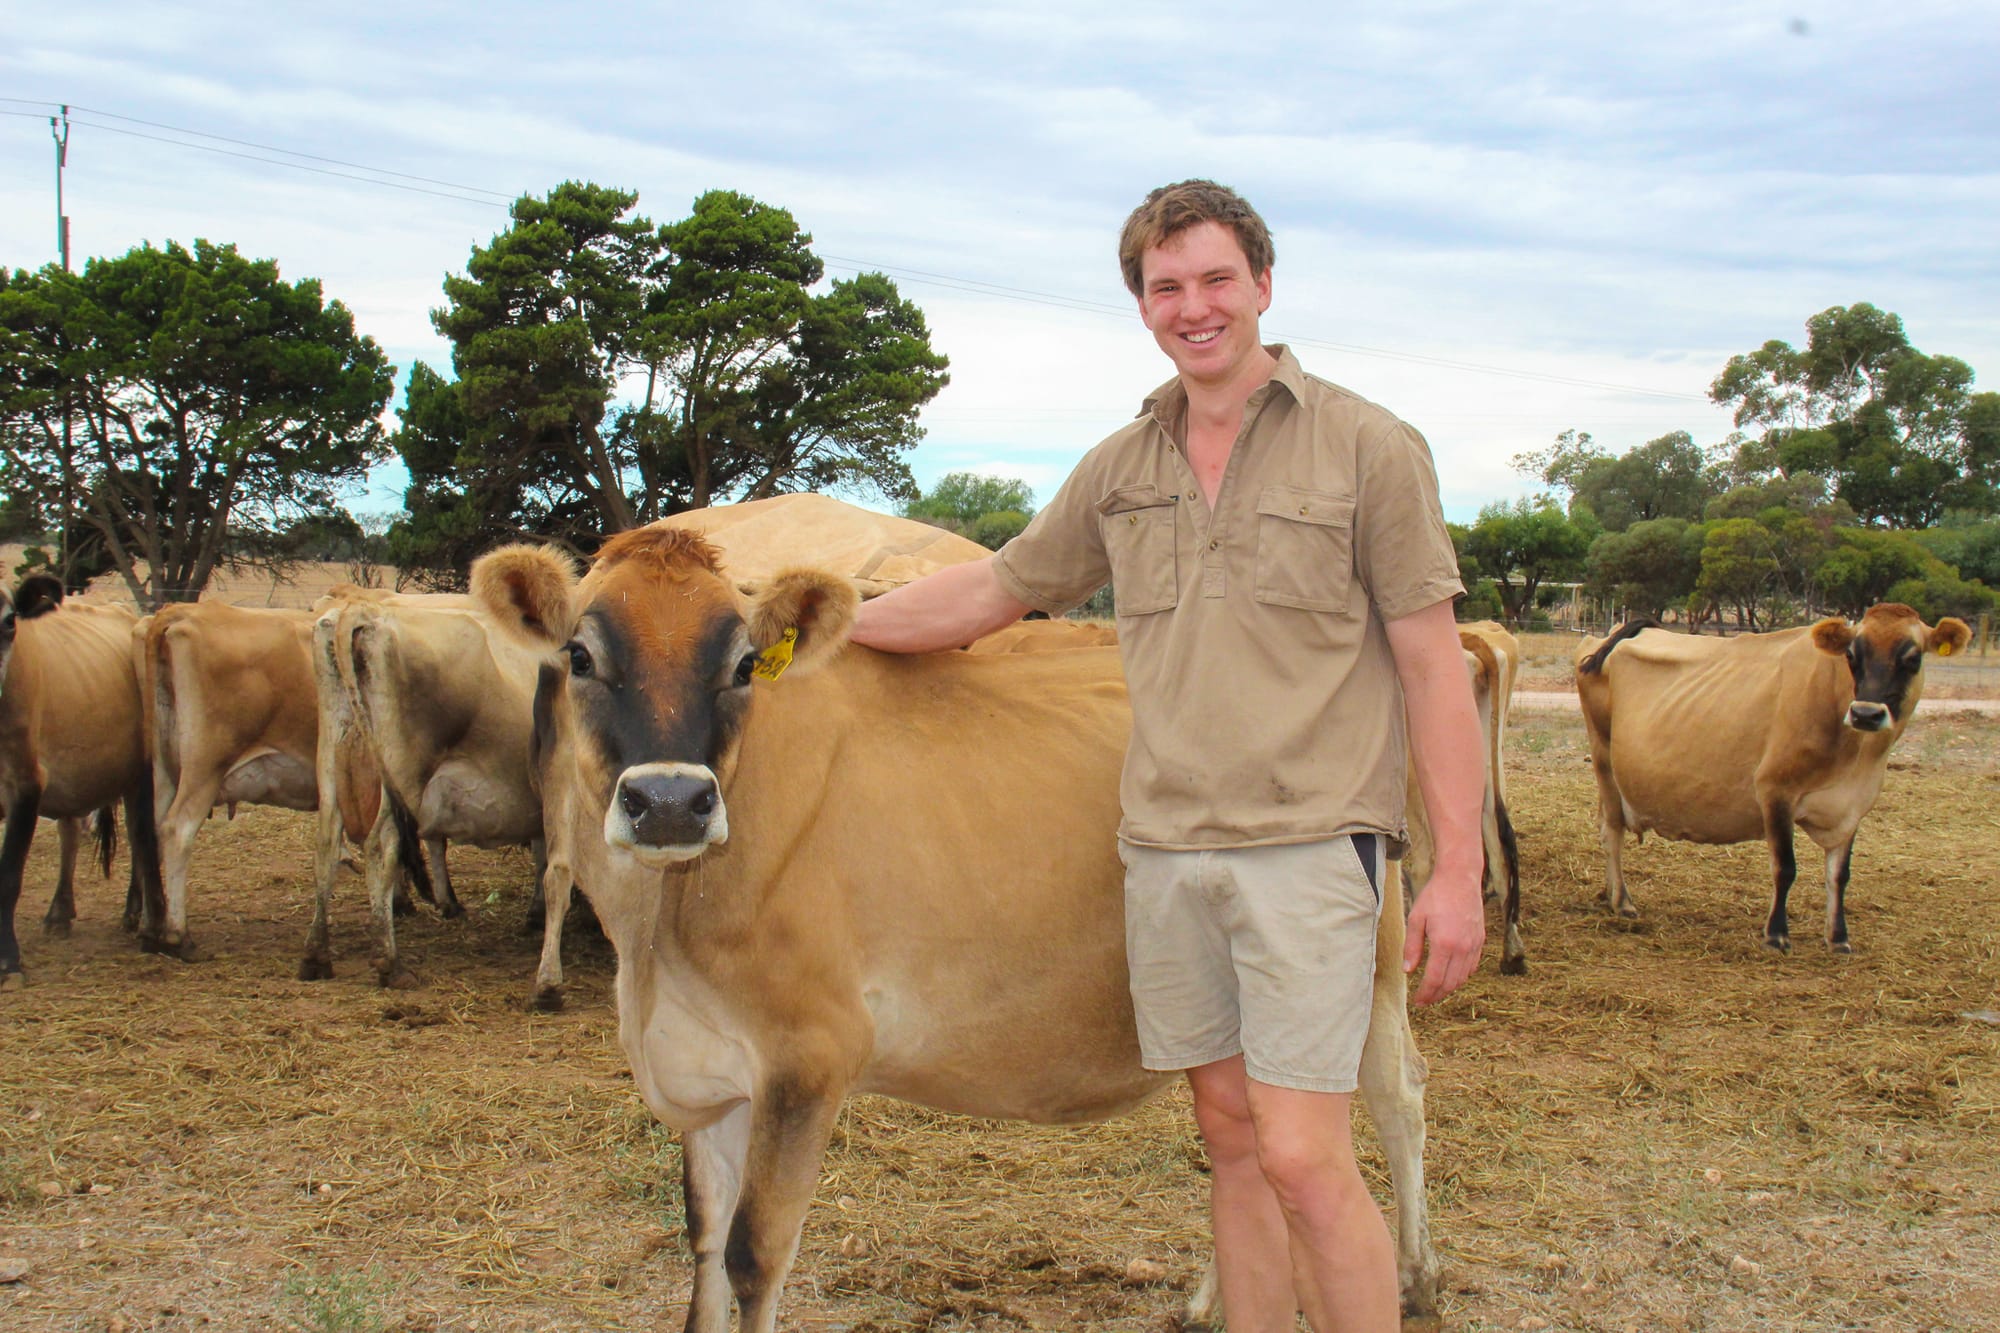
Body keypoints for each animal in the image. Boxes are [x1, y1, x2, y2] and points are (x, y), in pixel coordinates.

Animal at [1, 576, 166, 984]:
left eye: (9, 621)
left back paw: (137, 912)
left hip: (137, 774)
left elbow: (8, 875)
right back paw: (61, 911)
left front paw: (8, 959)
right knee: (71, 832)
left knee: (141, 837)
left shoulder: (25, 785)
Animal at [303, 583, 559, 990]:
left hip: (332, 756)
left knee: (326, 845)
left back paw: (316, 955)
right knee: (380, 847)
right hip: (396, 776)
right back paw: (390, 961)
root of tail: (361, 610)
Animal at [471, 531, 1440, 1333]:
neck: (657, 940)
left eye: (746, 663)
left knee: (1395, 1096)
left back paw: (1416, 1275)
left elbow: (753, 1260)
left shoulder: (809, 1057)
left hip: (1369, 960)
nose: (670, 800)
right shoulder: (707, 1076)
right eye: (580, 653)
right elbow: (705, 1254)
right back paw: (1215, 1296)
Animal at [1574, 603, 1971, 952]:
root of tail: (1619, 632)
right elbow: (1785, 867)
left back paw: (1608, 894)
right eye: (1852, 655)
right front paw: (1777, 934)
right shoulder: (1775, 790)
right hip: (1604, 758)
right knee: (1613, 831)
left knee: (1605, 826)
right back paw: (1622, 900)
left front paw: (1838, 937)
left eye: (1913, 658)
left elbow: (1839, 875)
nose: (1866, 713)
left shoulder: (1853, 806)